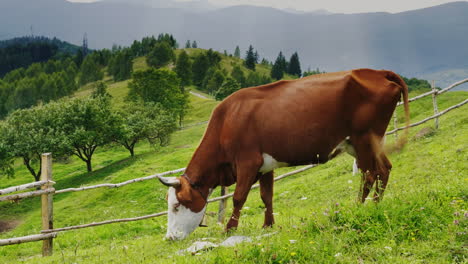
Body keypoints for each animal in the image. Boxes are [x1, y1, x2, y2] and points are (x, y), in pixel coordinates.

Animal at [159, 68, 408, 239]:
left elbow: (239, 197)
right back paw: (375, 204)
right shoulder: (265, 165)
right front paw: (268, 225)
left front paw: (229, 229)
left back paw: (359, 207)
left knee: (370, 174)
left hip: (364, 139)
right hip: (364, 143)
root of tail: (377, 72)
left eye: (177, 205)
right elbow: (266, 196)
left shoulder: (248, 162)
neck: (227, 122)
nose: (170, 238)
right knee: (384, 169)